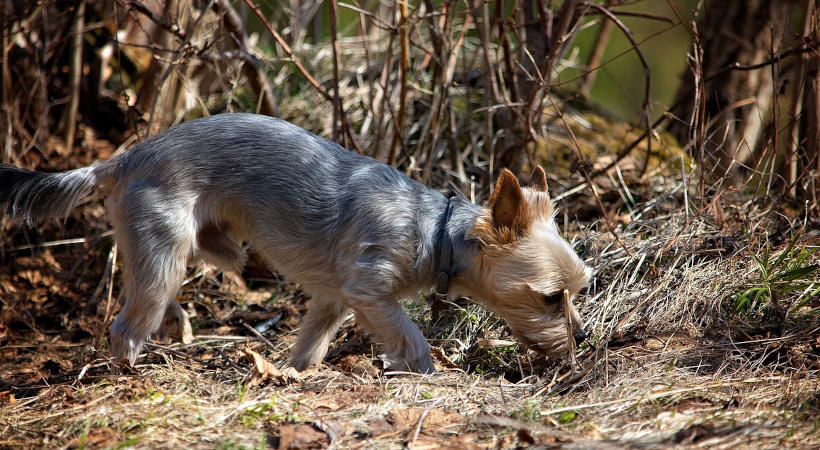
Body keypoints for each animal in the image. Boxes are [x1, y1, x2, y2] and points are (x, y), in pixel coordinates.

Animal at [0, 113, 588, 372]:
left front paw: (293, 374)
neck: (437, 232)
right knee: (126, 326)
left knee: (176, 280)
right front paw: (423, 372)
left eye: (578, 290)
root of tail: (122, 159)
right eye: (549, 298)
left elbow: (312, 343)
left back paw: (180, 321)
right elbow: (412, 337)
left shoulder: (333, 298)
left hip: (189, 247)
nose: (582, 338)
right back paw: (132, 370)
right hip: (163, 250)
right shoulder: (370, 290)